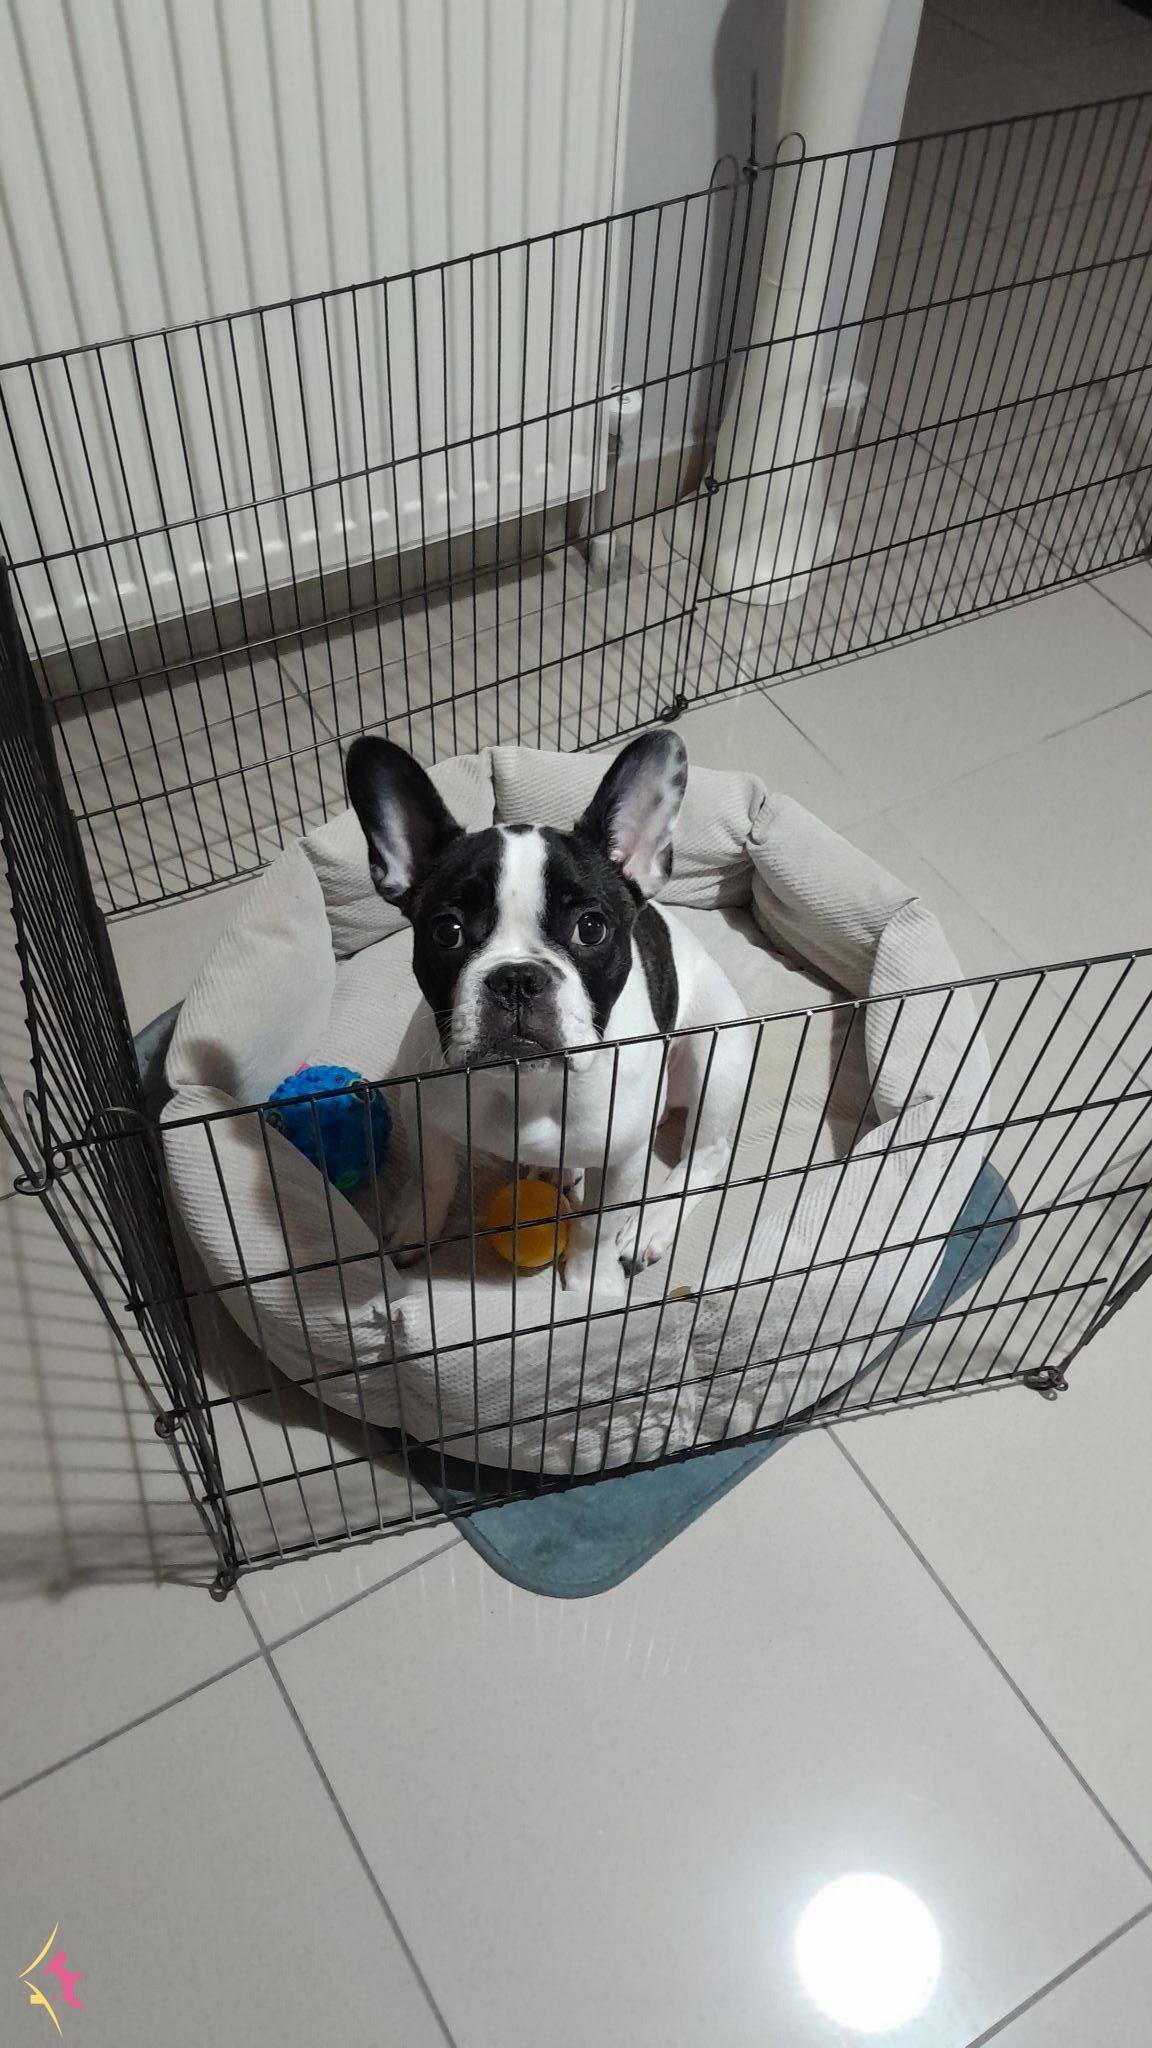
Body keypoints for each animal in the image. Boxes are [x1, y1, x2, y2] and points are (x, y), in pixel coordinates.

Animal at [345, 730, 751, 1300]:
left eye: (591, 928)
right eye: (447, 932)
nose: (516, 978)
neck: (525, 1082)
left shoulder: (622, 1156)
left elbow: (596, 1227)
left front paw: (590, 1283)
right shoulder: (425, 1116)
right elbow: (433, 1180)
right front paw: (414, 1230)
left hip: (715, 1054)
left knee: (706, 1156)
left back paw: (647, 1227)